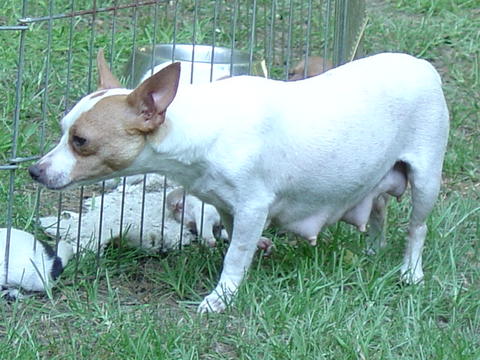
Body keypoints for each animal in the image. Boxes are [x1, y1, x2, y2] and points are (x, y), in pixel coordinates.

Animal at [28, 50, 450, 312]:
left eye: (80, 141)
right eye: (62, 130)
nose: (35, 170)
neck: (200, 129)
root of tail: (421, 65)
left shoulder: (252, 206)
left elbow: (235, 255)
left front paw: (221, 297)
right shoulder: (227, 206)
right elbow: (234, 243)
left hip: (426, 178)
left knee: (418, 228)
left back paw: (410, 271)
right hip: (379, 177)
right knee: (379, 210)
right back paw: (374, 250)